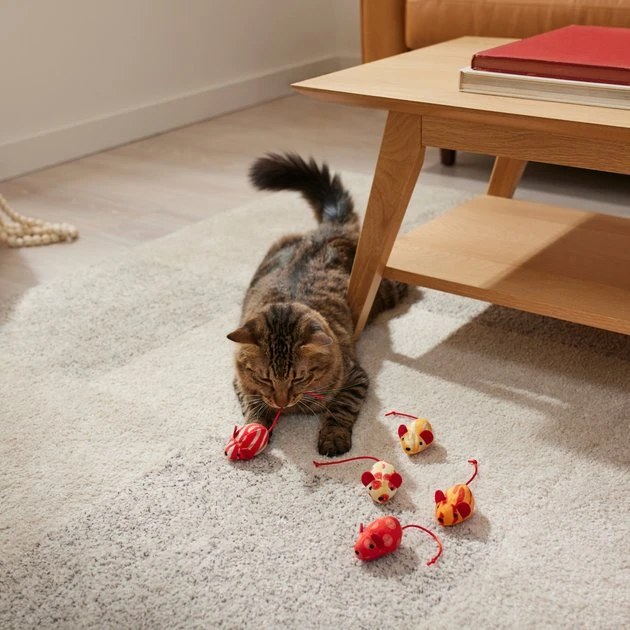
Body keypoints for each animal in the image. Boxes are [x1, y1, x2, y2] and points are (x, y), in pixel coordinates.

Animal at [227, 153, 407, 456]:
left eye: (298, 378)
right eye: (265, 379)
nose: (281, 402)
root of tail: (329, 228)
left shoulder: (355, 378)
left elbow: (339, 409)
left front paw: (333, 438)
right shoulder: (241, 384)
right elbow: (254, 406)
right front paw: (254, 431)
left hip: (382, 294)